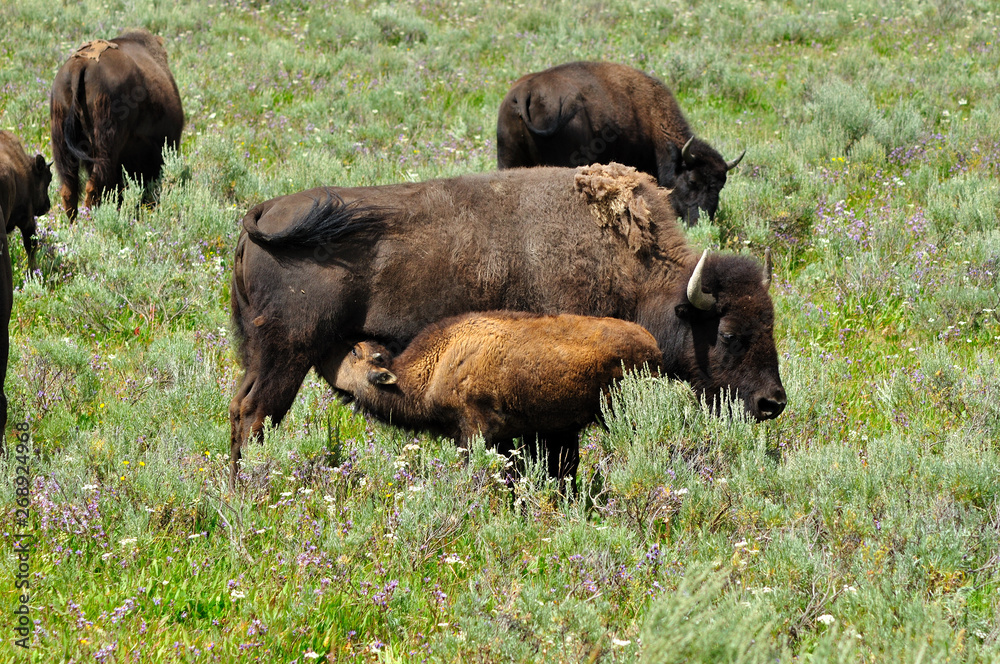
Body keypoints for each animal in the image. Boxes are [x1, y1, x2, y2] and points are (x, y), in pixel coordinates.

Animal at [496, 61, 744, 226]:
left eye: (720, 186)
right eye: (692, 181)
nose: (701, 222)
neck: (651, 118)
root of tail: (526, 93)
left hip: (507, 160)